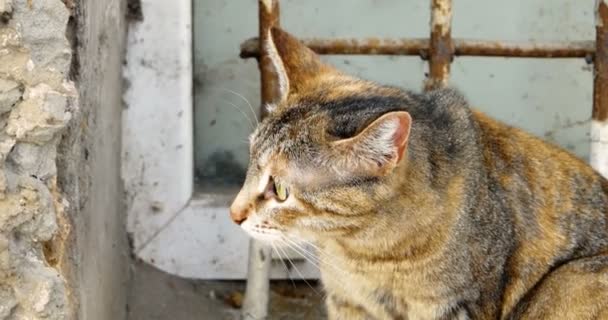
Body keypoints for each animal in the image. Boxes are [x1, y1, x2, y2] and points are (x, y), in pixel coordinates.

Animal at [228, 28, 608, 320]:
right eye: (251, 160)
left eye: (279, 190)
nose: (233, 214)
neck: (364, 253)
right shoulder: (347, 302)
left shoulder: (453, 308)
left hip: (568, 281)